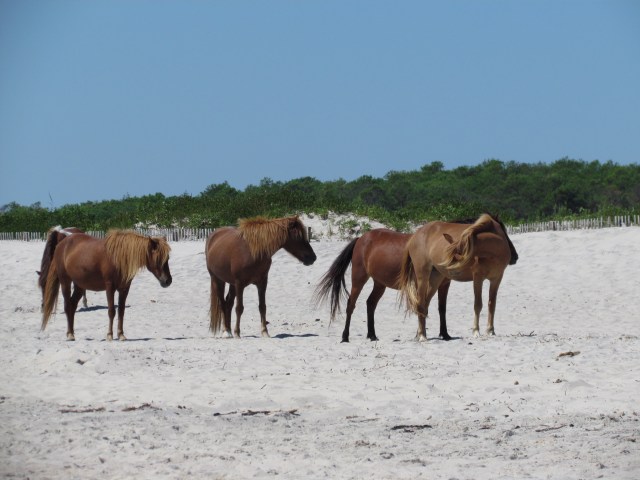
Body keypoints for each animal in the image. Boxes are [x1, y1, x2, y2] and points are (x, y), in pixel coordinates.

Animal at [41, 230, 172, 341]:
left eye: (168, 258)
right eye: (158, 258)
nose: (168, 281)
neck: (119, 258)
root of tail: (61, 245)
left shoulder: (124, 289)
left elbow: (121, 311)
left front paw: (121, 335)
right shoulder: (110, 287)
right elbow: (111, 311)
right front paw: (109, 335)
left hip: (80, 285)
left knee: (72, 306)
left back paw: (73, 333)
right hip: (65, 282)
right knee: (67, 307)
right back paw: (69, 334)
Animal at [314, 228, 453, 343]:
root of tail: (360, 238)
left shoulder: (444, 284)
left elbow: (441, 308)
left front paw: (444, 334)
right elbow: (423, 306)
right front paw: (421, 334)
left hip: (380, 284)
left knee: (370, 303)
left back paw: (372, 335)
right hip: (359, 279)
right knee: (351, 305)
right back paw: (345, 336)